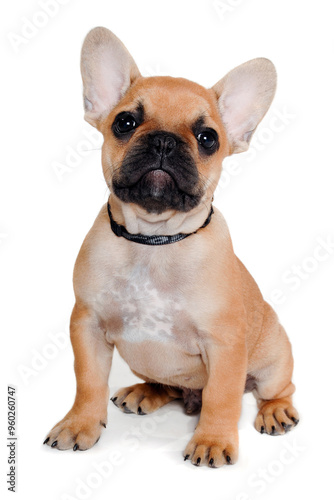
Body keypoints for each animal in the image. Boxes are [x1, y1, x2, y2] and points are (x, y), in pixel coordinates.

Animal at [43, 25, 298, 466]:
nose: (163, 141)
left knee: (274, 390)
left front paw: (212, 440)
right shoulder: (87, 325)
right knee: (169, 387)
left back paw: (275, 411)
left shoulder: (224, 344)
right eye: (125, 122)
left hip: (274, 361)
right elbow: (88, 381)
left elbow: (222, 396)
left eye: (208, 138)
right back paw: (145, 392)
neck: (153, 240)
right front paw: (80, 424)